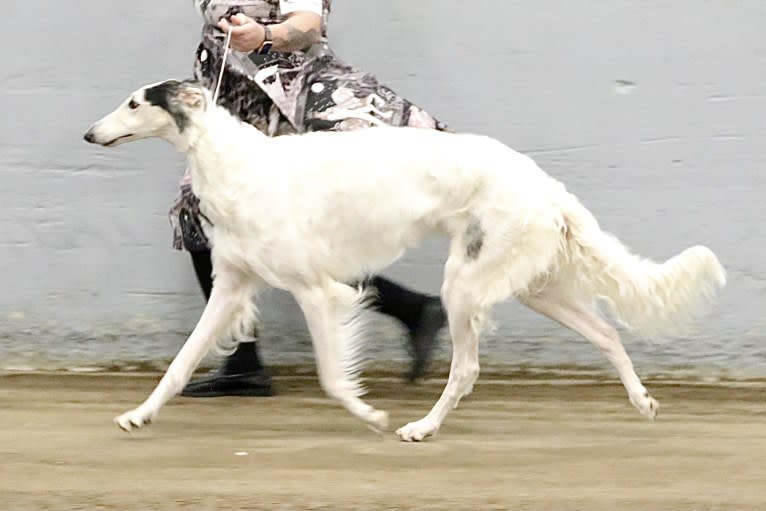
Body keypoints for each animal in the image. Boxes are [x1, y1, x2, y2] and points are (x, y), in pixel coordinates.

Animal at [84, 79, 728, 440]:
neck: (236, 164)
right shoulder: (232, 286)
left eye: (134, 102)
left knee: (466, 369)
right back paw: (642, 401)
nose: (91, 134)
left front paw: (370, 416)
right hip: (530, 285)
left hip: (466, 285)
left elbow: (331, 376)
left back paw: (421, 428)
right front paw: (138, 416)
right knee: (606, 332)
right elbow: (180, 363)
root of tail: (548, 187)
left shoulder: (318, 290)